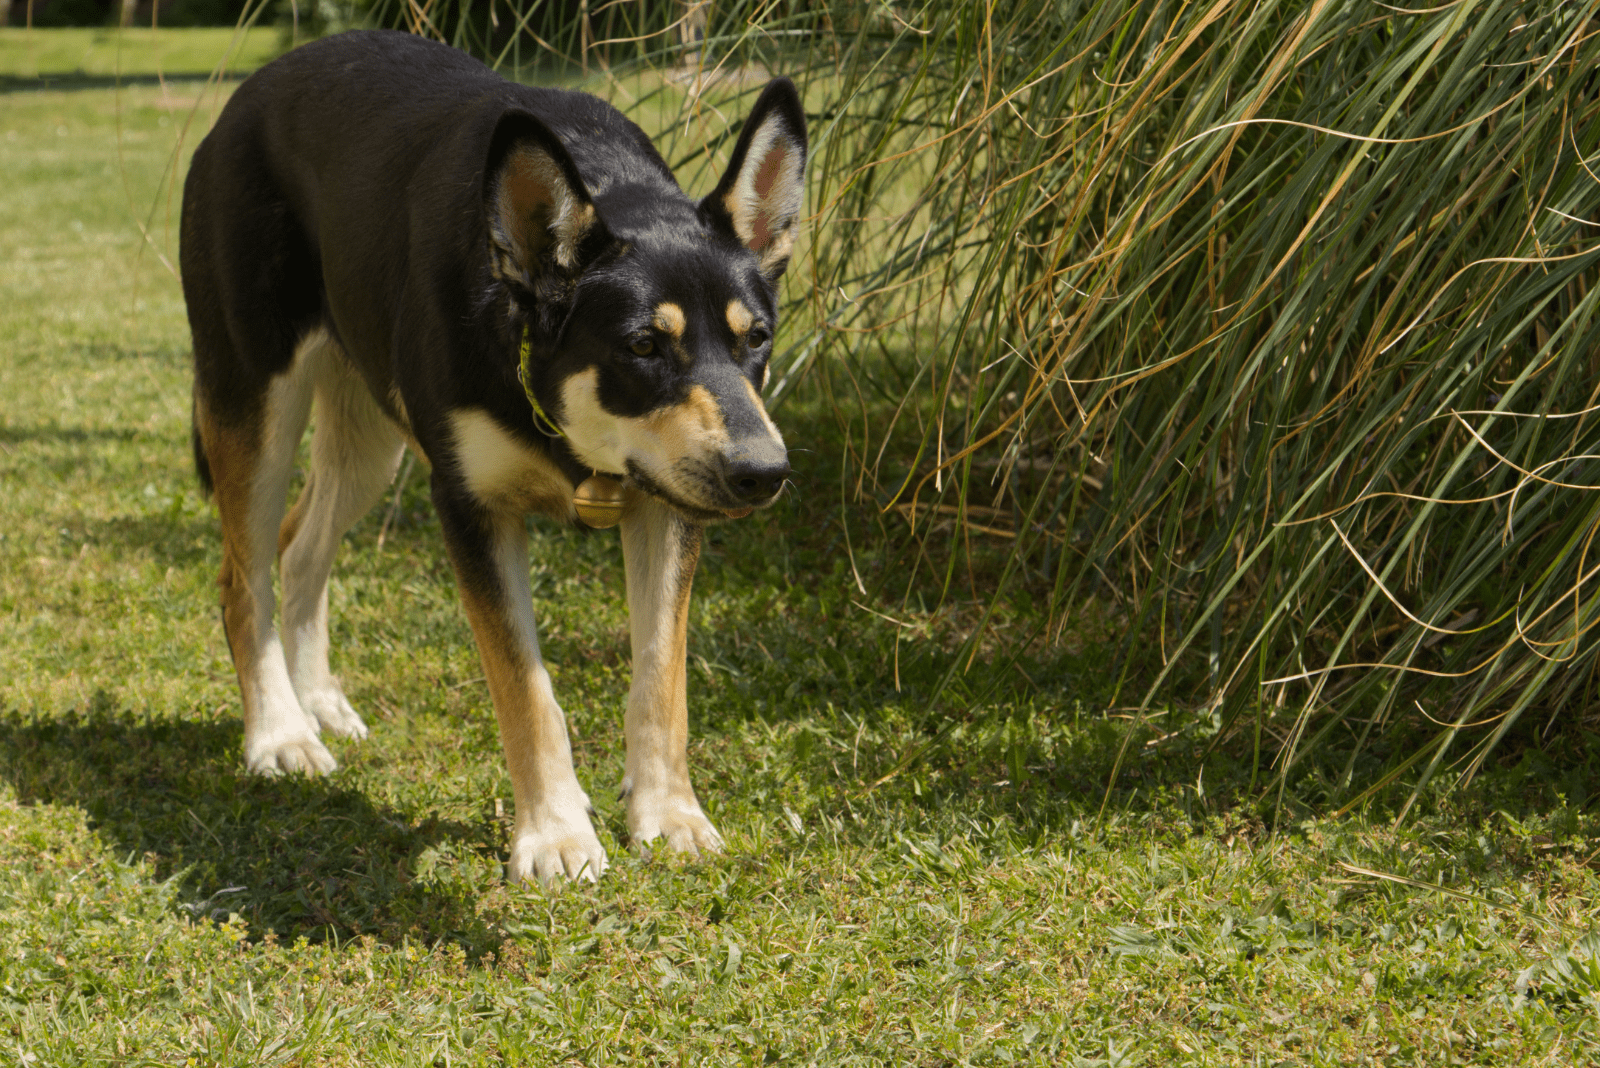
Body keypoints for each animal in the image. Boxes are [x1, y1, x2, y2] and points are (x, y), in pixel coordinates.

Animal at [181, 33, 806, 882]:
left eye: (757, 338)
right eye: (643, 345)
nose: (764, 473)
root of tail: (255, 90)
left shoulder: (664, 504)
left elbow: (661, 678)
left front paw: (670, 815)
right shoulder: (471, 507)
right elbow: (525, 688)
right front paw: (555, 835)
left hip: (369, 439)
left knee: (301, 548)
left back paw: (316, 701)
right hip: (256, 405)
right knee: (243, 580)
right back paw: (279, 734)